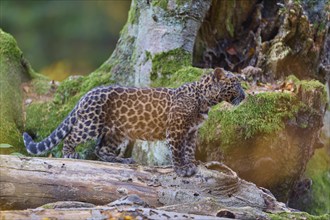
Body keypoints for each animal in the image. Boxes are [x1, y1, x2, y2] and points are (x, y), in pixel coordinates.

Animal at [23, 68, 245, 176]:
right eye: (235, 84)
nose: (244, 96)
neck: (205, 100)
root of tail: (86, 94)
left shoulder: (191, 131)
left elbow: (189, 150)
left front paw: (190, 164)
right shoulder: (176, 130)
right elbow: (177, 151)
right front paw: (181, 169)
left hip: (117, 132)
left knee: (101, 149)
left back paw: (121, 160)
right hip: (91, 123)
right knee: (72, 137)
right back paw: (71, 154)